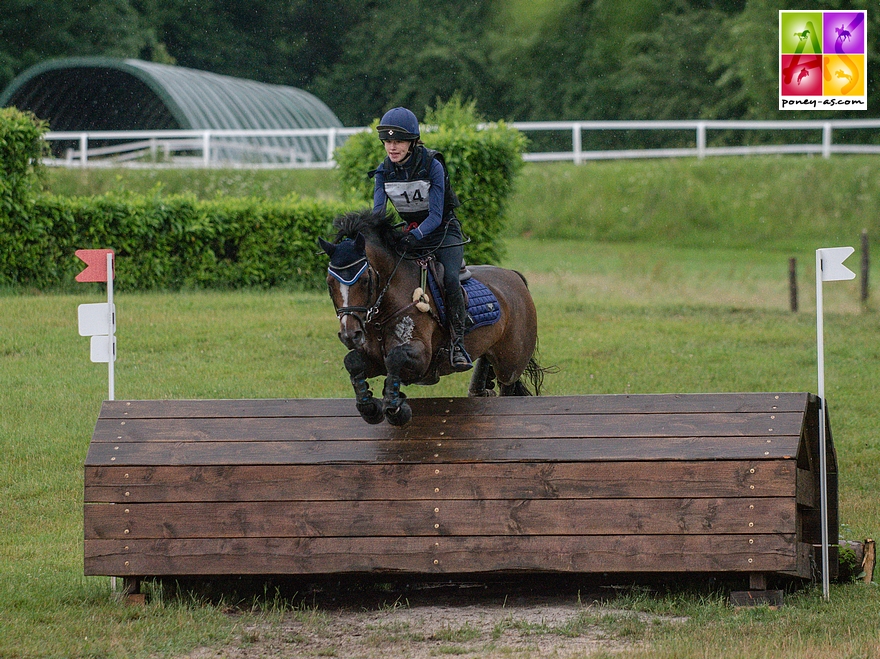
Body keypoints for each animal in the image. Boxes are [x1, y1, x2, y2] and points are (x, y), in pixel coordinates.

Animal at [320, 211, 548, 428]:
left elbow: (395, 358)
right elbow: (352, 361)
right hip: (489, 350)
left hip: (510, 364)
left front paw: (395, 407)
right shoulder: (374, 359)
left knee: (507, 386)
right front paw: (370, 407)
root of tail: (515, 276)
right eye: (330, 283)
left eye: (365, 280)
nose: (350, 335)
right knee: (483, 379)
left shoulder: (422, 360)